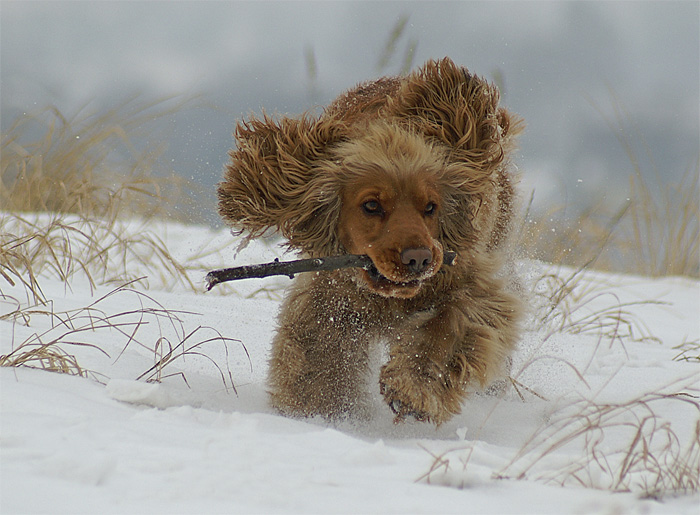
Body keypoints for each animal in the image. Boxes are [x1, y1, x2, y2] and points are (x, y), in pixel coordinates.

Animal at [220, 58, 524, 426]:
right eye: (371, 206)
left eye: (430, 207)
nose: (419, 259)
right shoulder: (331, 299)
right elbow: (321, 355)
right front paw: (320, 412)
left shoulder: (469, 281)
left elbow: (449, 325)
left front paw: (414, 389)